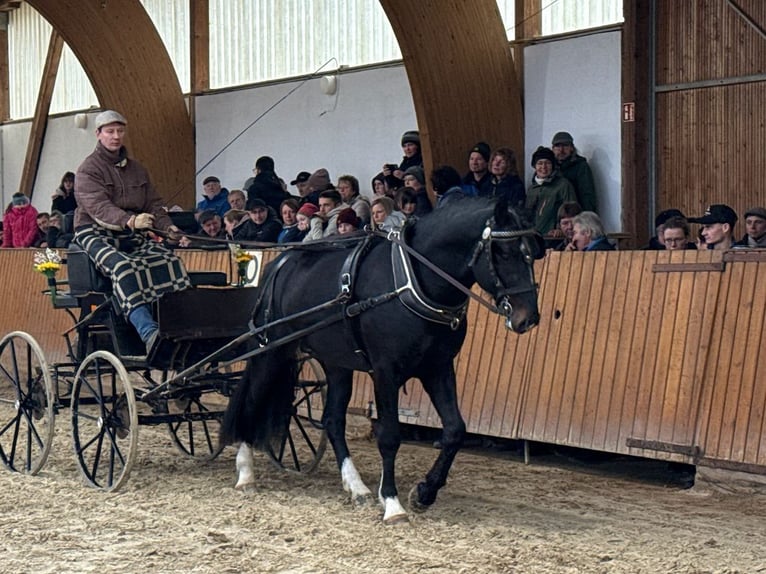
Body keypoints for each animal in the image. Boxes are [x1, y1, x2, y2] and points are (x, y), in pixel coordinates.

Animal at [221, 195, 542, 523]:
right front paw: (392, 502)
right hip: (271, 351)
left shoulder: (437, 368)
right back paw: (245, 473)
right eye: (503, 252)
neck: (411, 282)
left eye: (533, 252)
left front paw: (424, 492)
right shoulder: (385, 371)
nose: (527, 317)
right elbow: (389, 436)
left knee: (332, 420)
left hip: (336, 363)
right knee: (251, 400)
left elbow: (455, 430)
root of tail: (279, 264)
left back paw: (356, 487)